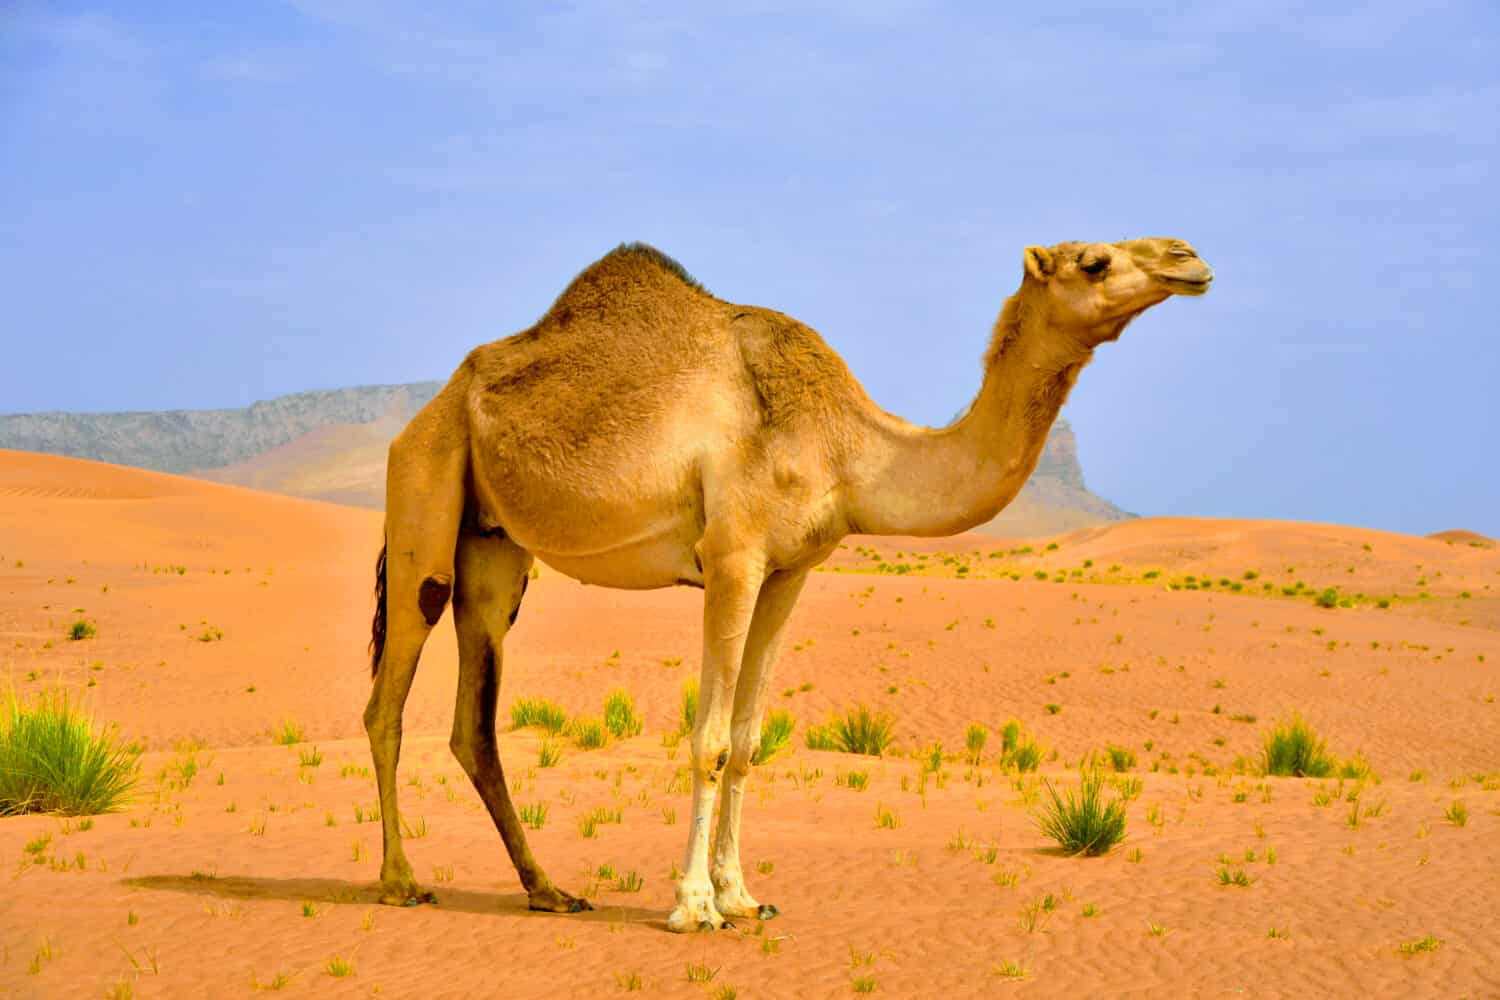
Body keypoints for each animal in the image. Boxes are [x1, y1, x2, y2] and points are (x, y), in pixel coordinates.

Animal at [364, 237, 1213, 931]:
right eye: (1094, 261)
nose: (1189, 256)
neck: (849, 447)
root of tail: (435, 404)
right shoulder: (732, 557)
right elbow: (708, 739)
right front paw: (693, 906)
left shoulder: (791, 570)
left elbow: (746, 742)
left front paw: (743, 896)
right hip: (425, 487)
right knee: (388, 697)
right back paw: (401, 881)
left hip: (495, 548)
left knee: (474, 722)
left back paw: (548, 890)